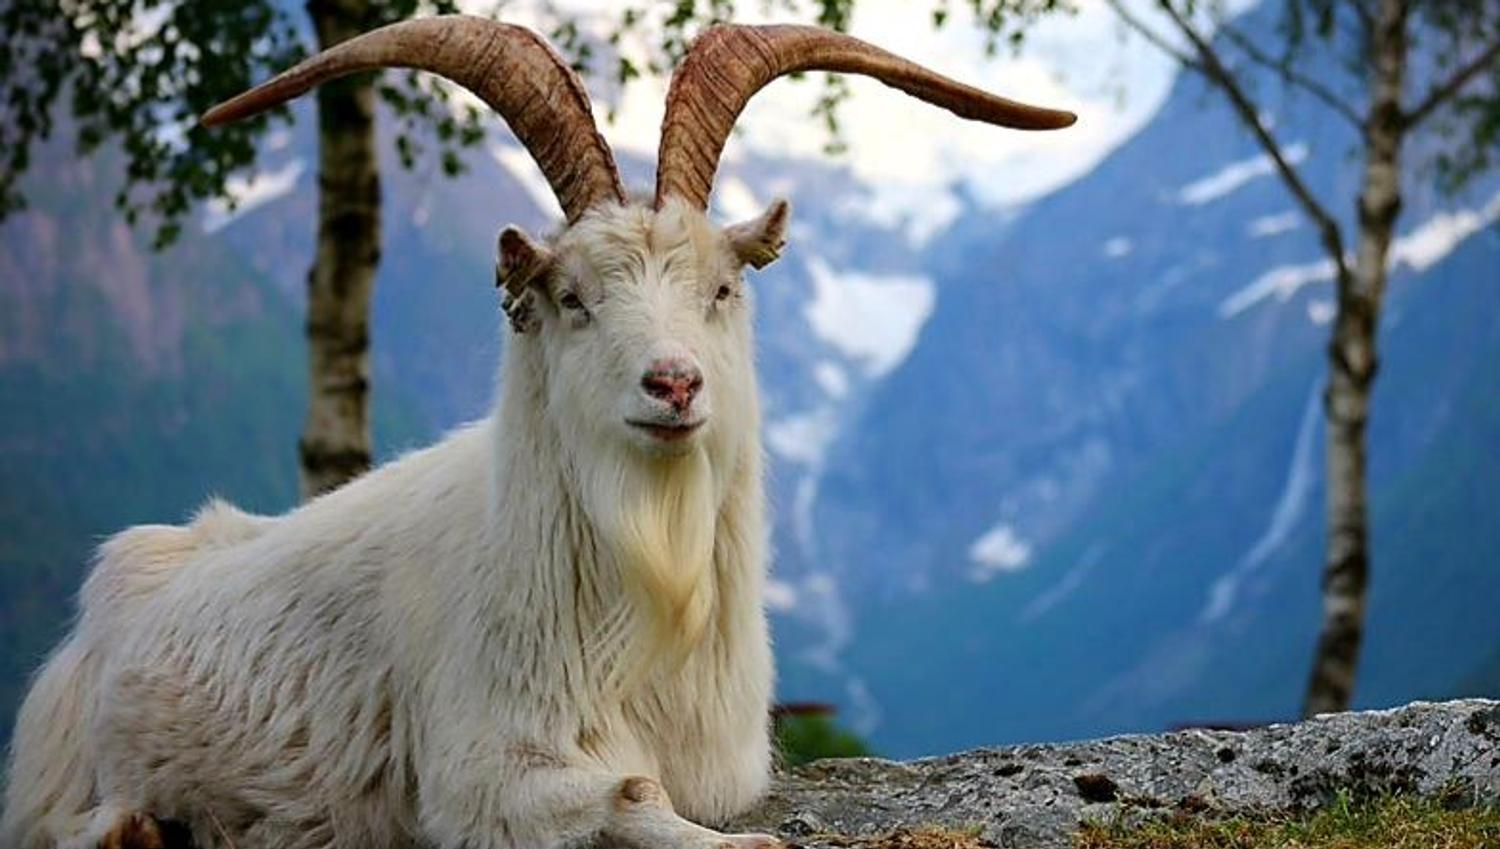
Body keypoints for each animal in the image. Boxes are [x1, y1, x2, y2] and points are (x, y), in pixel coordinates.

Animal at [1, 16, 1073, 849]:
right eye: (572, 298)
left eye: (722, 289)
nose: (674, 382)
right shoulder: (480, 771)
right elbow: (630, 790)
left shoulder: (724, 763)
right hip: (61, 768)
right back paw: (139, 823)